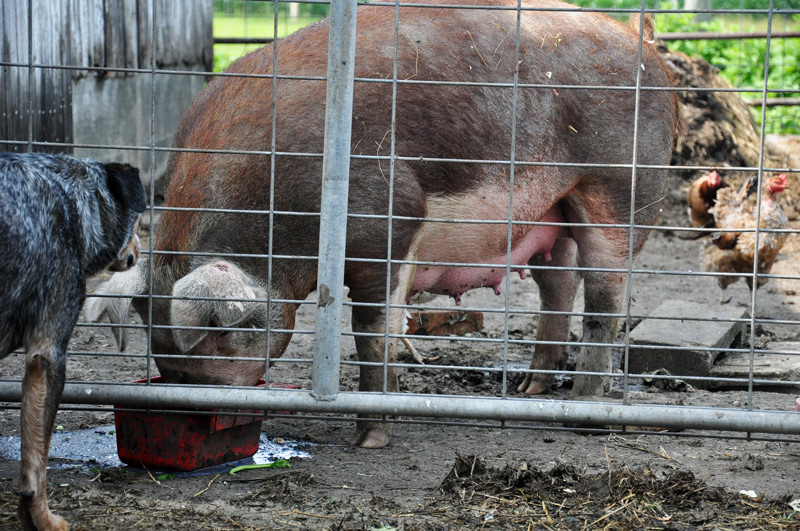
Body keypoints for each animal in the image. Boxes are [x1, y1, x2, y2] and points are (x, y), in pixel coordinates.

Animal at [89, 0, 680, 448]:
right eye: (157, 342)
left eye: (219, 335)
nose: (191, 400)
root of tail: (641, 43)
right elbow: (392, 329)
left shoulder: (389, 222)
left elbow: (373, 331)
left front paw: (371, 437)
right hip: (550, 209)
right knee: (558, 282)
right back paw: (533, 390)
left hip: (621, 188)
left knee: (606, 295)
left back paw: (586, 412)